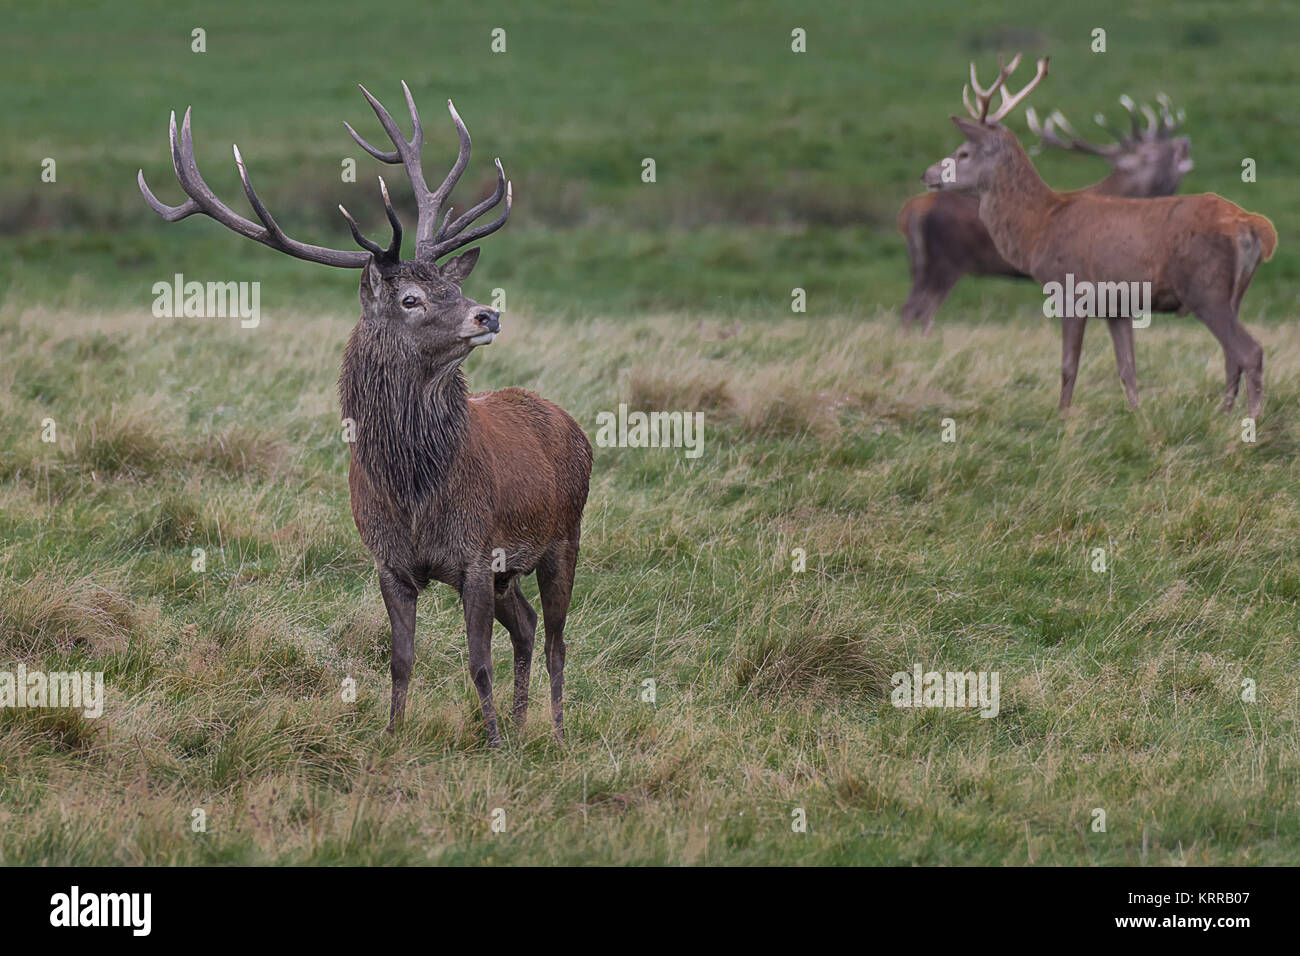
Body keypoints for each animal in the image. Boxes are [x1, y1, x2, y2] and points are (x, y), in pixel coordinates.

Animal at [139, 83, 592, 749]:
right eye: (411, 298)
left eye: (453, 289)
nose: (487, 313)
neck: (413, 490)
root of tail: (573, 424)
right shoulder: (389, 562)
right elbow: (401, 658)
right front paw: (392, 735)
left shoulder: (477, 554)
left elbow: (476, 659)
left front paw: (490, 745)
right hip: (516, 571)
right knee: (531, 626)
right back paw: (522, 721)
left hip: (564, 537)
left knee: (558, 639)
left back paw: (554, 734)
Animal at [899, 93, 1190, 332]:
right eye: (1149, 154)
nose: (1184, 142)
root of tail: (910, 210)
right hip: (945, 262)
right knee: (919, 310)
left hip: (921, 265)